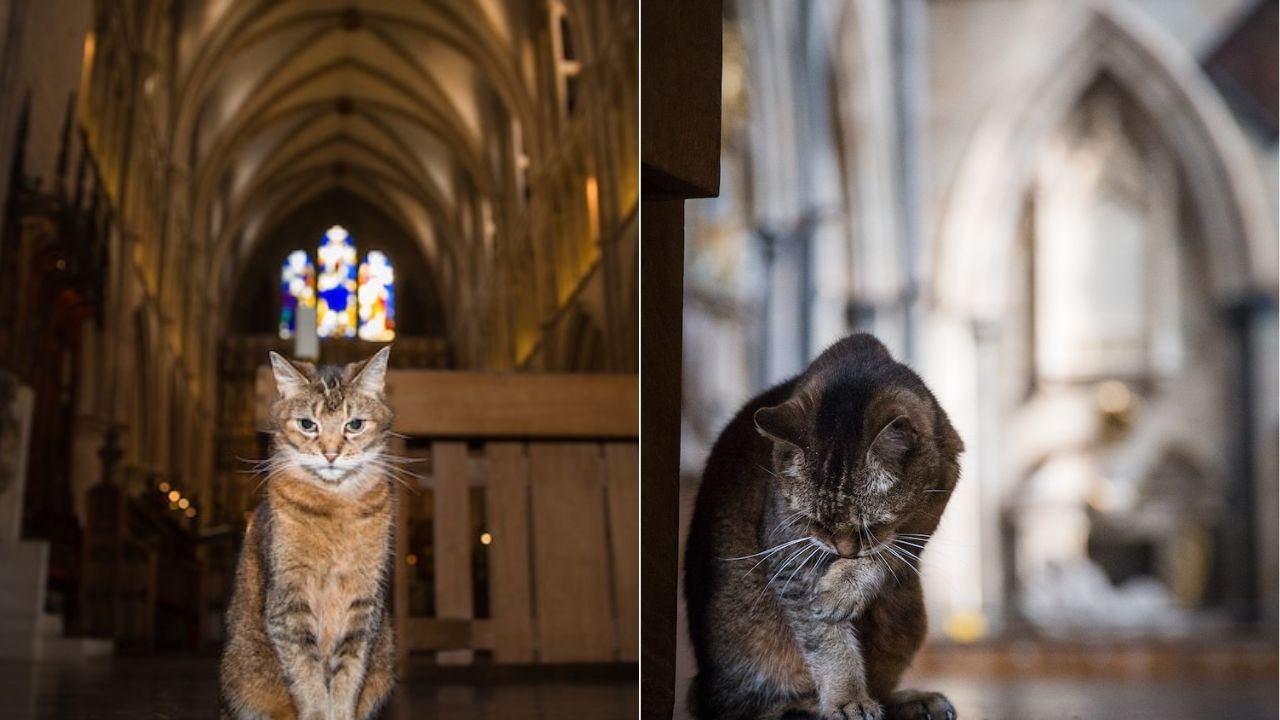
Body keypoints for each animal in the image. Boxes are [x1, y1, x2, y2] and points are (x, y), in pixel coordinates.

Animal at [220, 345, 396, 712]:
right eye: (307, 424)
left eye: (354, 424)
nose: (330, 454)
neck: (335, 507)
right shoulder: (289, 601)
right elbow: (308, 678)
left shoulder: (364, 604)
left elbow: (348, 677)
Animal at [686, 333, 962, 717]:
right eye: (813, 521)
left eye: (869, 526)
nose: (842, 551)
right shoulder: (792, 556)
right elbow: (825, 640)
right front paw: (846, 698)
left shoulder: (925, 515)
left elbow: (882, 556)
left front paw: (845, 589)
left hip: (909, 613)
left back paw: (914, 700)